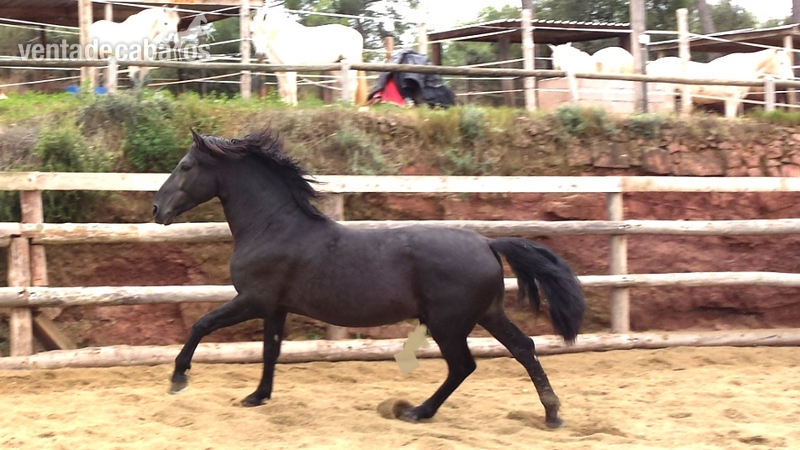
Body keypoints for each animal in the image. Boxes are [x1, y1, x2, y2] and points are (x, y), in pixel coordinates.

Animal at [151, 128, 586, 428]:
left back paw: (417, 411)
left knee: (463, 366)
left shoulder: (253, 299)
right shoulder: (275, 307)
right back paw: (552, 415)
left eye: (185, 166)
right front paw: (257, 397)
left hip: (448, 324)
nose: (156, 208)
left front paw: (178, 378)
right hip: (486, 314)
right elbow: (270, 351)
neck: (273, 227)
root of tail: (487, 243)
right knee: (524, 347)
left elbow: (201, 324)